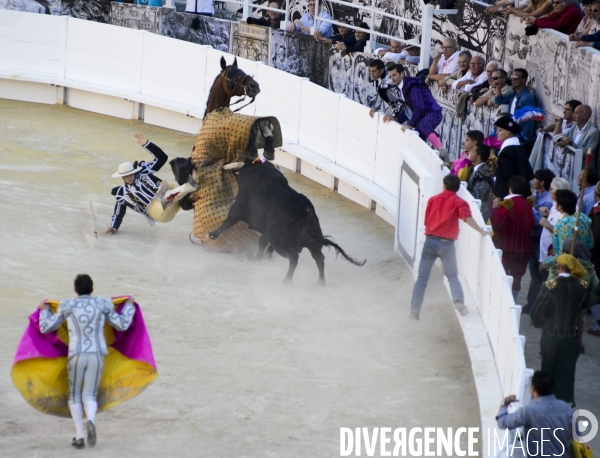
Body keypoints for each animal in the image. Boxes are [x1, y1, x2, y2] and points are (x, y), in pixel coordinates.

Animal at [206, 159, 366, 284]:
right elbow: (261, 243)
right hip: (314, 242)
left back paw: (287, 281)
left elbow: (227, 222)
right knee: (319, 258)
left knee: (294, 258)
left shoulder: (238, 208)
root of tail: (305, 210)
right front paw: (257, 259)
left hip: (280, 243)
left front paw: (212, 234)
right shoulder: (266, 232)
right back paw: (320, 282)